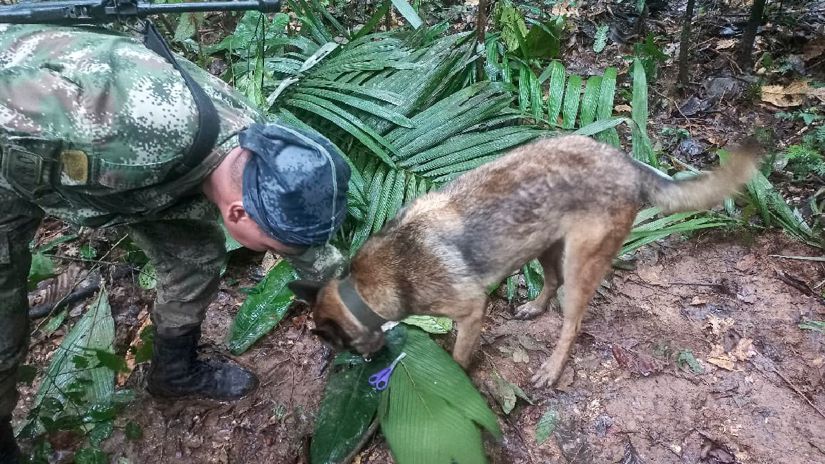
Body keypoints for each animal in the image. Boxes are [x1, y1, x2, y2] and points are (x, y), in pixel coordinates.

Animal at [290, 134, 760, 388]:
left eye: (338, 345)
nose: (370, 364)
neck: (364, 287)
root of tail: (627, 163)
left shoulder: (471, 310)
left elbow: (459, 356)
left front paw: (456, 377)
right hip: (544, 245)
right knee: (550, 283)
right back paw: (534, 307)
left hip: (579, 264)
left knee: (572, 323)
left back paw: (552, 368)